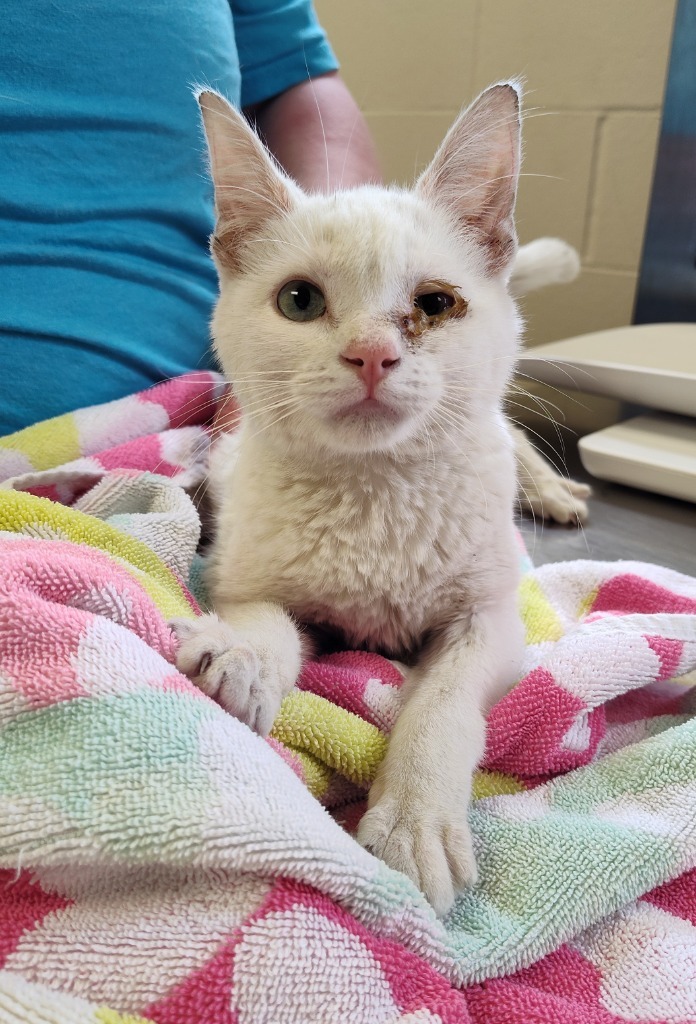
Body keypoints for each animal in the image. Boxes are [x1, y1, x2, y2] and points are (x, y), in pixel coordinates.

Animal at [174, 83, 577, 917]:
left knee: (515, 430)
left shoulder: (492, 618)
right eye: (299, 301)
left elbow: (444, 704)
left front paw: (415, 821)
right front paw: (242, 659)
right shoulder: (242, 570)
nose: (371, 354)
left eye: (436, 304)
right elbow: (267, 618)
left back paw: (553, 489)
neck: (376, 492)